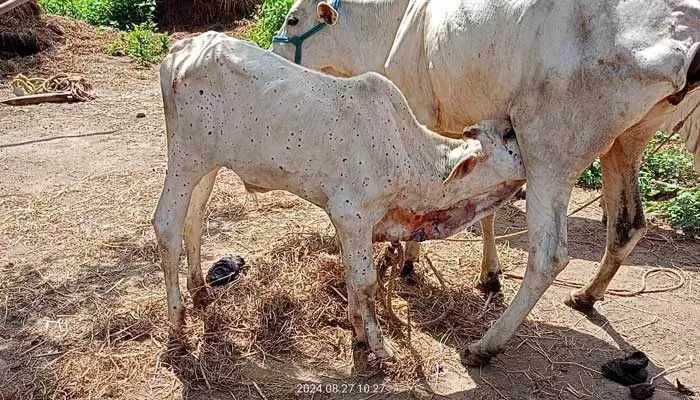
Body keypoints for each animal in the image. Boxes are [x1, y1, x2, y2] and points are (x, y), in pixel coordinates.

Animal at [153, 32, 524, 358]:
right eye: (508, 135)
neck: (413, 156)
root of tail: (186, 47)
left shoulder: (350, 224)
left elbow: (351, 277)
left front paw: (358, 331)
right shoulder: (352, 214)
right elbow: (365, 283)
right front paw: (380, 348)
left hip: (207, 167)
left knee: (194, 221)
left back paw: (200, 291)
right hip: (185, 160)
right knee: (167, 225)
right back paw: (177, 320)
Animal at [272, 0, 700, 366]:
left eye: (292, 19)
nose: (274, 54)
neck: (394, 20)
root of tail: (682, 34)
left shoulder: (423, 114)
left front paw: (409, 259)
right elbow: (486, 210)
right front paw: (488, 275)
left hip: (548, 151)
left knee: (549, 256)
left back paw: (486, 345)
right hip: (626, 143)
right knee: (628, 226)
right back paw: (586, 296)